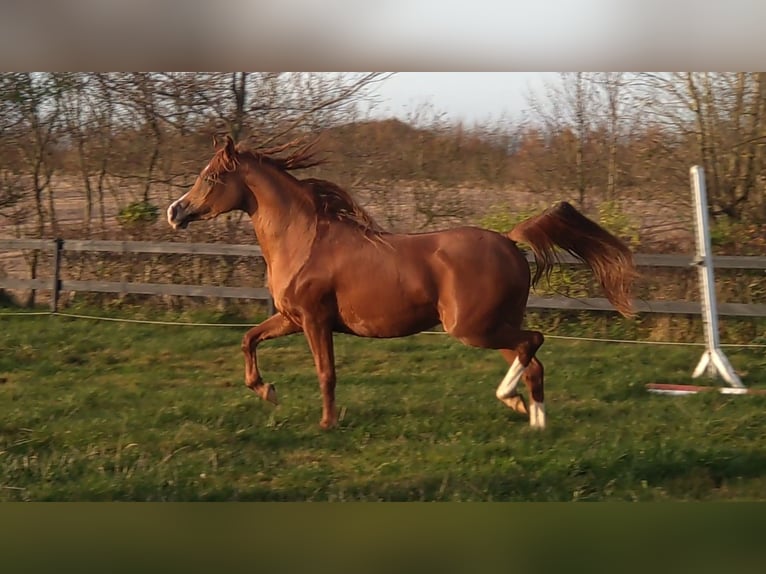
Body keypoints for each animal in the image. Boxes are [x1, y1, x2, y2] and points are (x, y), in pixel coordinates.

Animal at [168, 137, 636, 430]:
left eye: (211, 177)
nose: (175, 212)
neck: (304, 240)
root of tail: (508, 239)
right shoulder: (291, 318)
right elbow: (248, 339)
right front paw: (267, 392)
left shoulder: (315, 320)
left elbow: (326, 372)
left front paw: (327, 423)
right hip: (493, 325)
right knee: (532, 359)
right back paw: (531, 416)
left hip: (473, 328)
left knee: (533, 342)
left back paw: (511, 399)